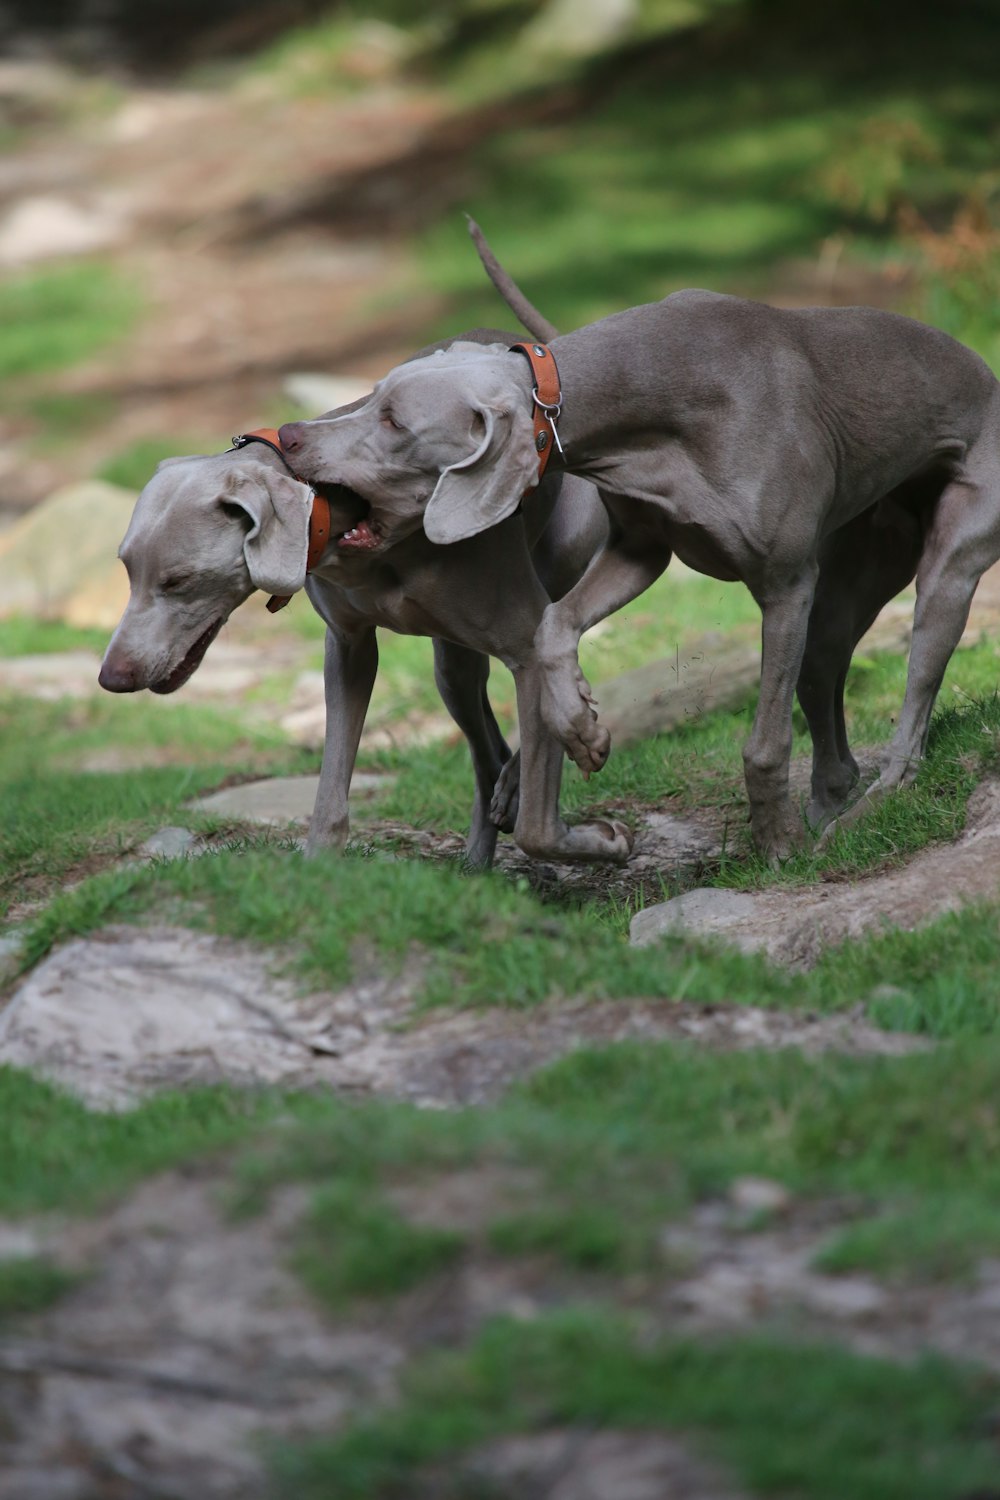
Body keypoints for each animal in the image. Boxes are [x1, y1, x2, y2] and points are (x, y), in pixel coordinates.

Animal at [280, 294, 1000, 864]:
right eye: (373, 395)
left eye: (394, 420)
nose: (287, 435)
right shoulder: (639, 549)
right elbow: (551, 630)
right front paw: (581, 727)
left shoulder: (785, 584)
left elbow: (765, 744)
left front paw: (778, 846)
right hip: (853, 569)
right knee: (826, 673)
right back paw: (829, 798)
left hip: (948, 557)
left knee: (917, 686)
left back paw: (873, 803)